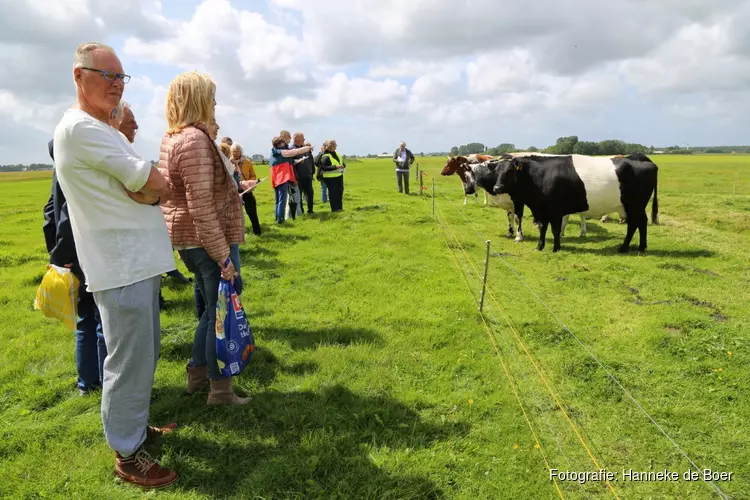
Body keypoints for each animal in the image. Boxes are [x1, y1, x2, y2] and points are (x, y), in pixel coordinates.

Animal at [494, 153, 656, 254]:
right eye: (497, 171)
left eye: (509, 171)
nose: (497, 188)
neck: (541, 175)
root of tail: (643, 160)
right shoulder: (541, 209)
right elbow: (543, 228)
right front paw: (539, 247)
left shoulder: (555, 210)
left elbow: (555, 230)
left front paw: (556, 248)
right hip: (635, 206)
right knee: (642, 222)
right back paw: (641, 247)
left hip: (634, 205)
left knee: (634, 224)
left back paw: (624, 248)